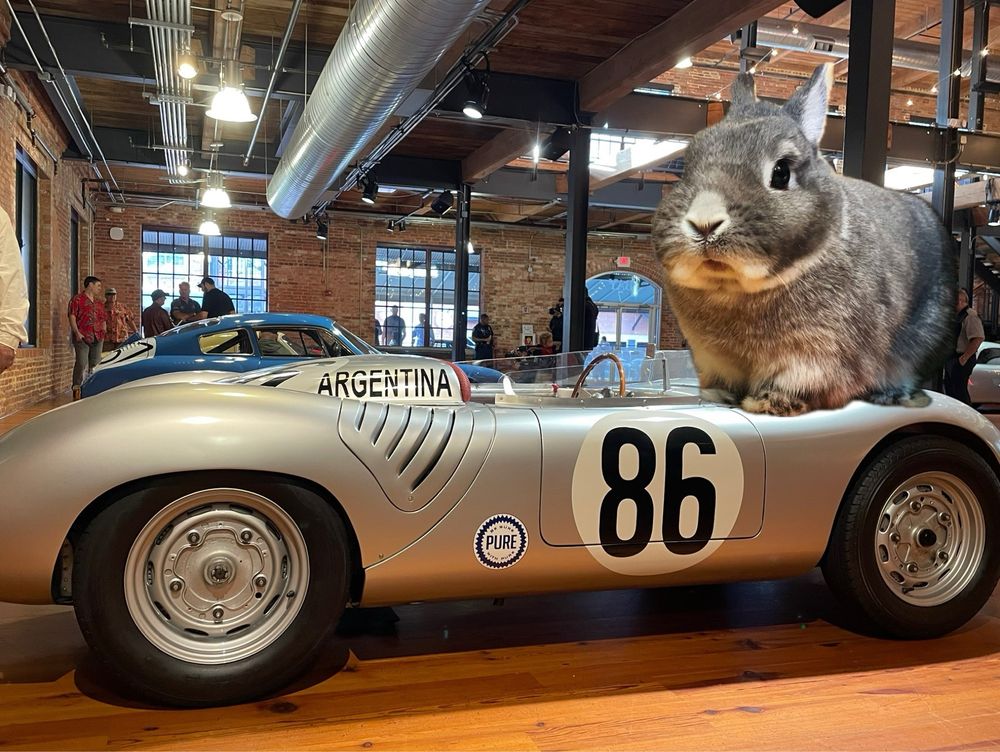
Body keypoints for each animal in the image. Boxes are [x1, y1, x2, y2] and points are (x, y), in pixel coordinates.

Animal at [650, 63, 956, 417]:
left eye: (781, 172)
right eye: (689, 164)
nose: (704, 223)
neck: (732, 288)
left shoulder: (819, 354)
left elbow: (802, 380)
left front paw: (769, 403)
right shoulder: (710, 356)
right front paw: (717, 396)